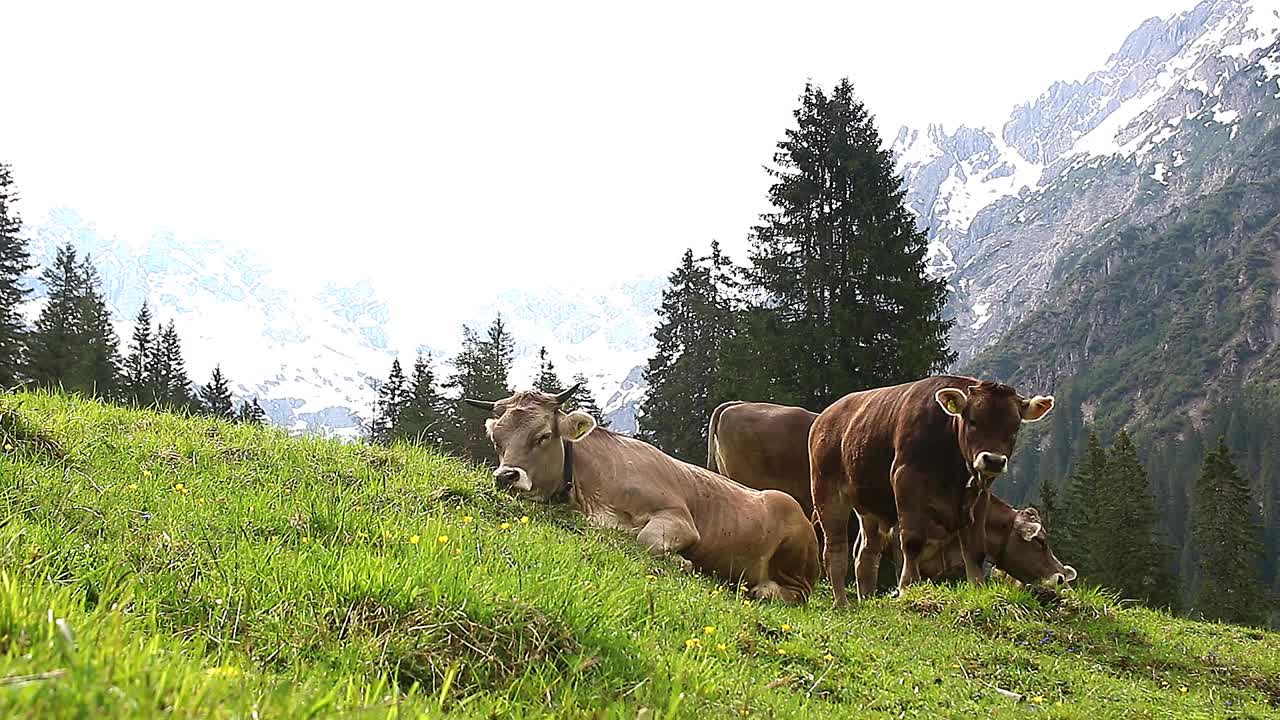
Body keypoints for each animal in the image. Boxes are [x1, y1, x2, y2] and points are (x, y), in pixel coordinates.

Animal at [468, 384, 819, 602]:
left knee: (796, 592)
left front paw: (686, 564)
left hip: (793, 547)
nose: (506, 476)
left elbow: (646, 540)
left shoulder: (679, 519)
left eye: (542, 436)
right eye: (496, 440)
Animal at [814, 371, 1054, 602]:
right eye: (973, 421)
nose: (994, 460)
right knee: (834, 550)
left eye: (1014, 427)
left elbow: (975, 549)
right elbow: (911, 542)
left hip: (870, 506)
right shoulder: (905, 481)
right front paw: (907, 587)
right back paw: (842, 603)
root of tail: (825, 415)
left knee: (865, 553)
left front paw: (977, 588)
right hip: (827, 494)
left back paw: (866, 600)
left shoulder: (979, 495)